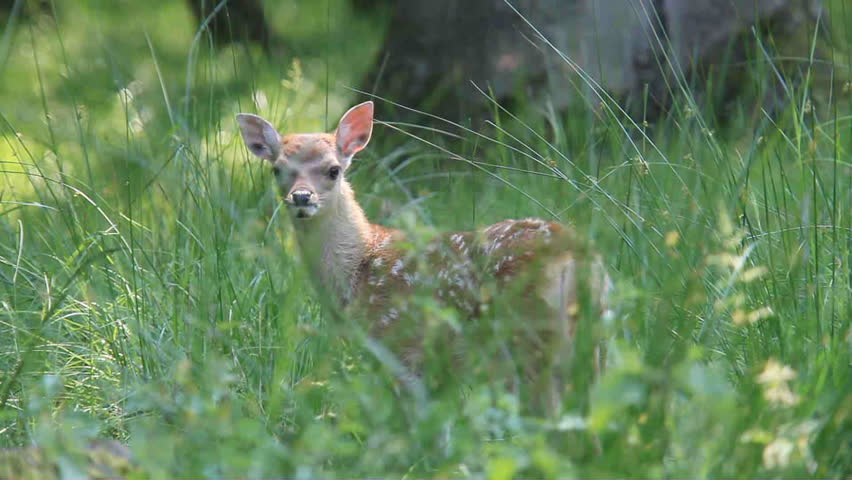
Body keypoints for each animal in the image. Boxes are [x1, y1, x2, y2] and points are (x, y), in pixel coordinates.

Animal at [236, 101, 613, 414]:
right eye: (277, 169)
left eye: (333, 170)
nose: (301, 197)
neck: (358, 268)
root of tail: (580, 257)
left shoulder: (400, 344)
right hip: (591, 339)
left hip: (532, 335)